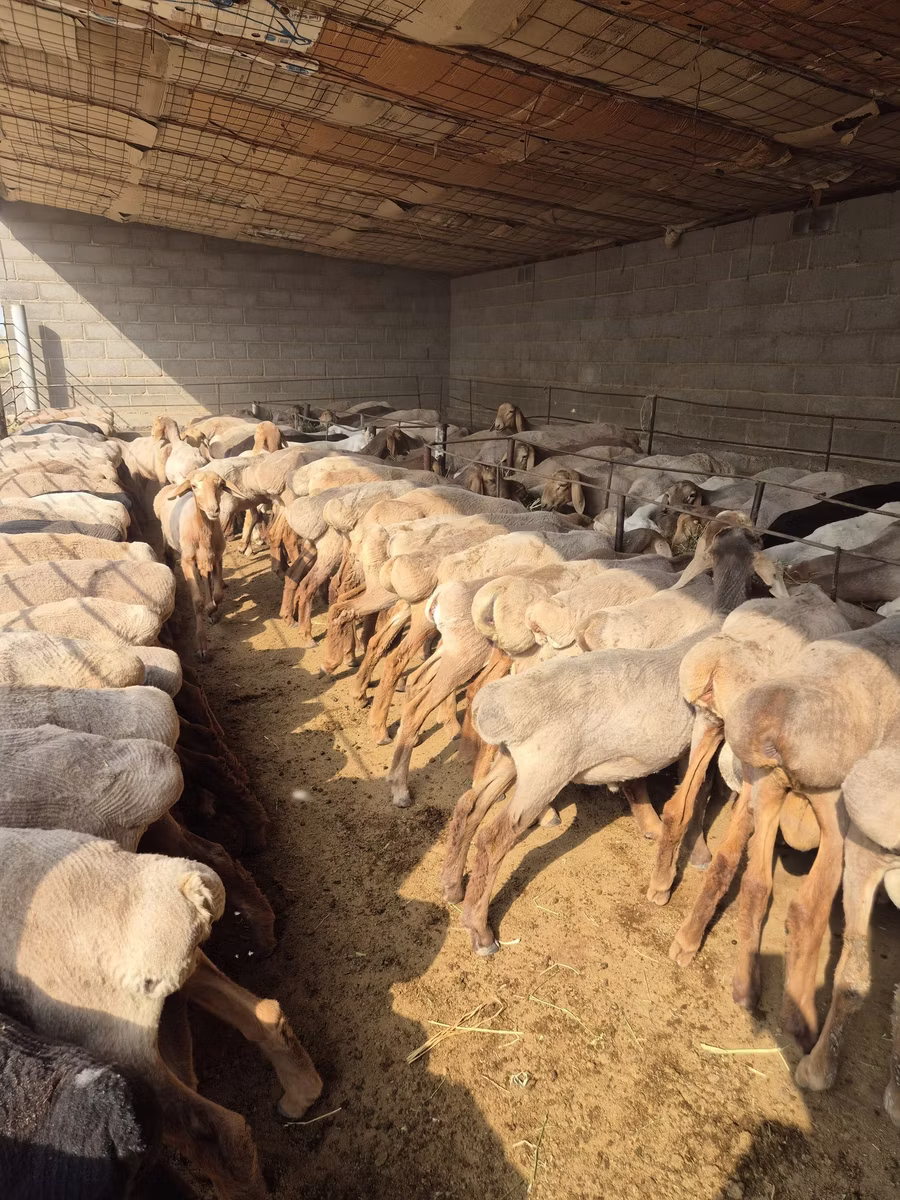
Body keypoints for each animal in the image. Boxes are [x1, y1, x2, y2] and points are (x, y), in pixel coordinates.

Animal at [0, 829, 319, 1197]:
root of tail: (183, 889)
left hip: (117, 1043)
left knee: (218, 1134)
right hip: (185, 972)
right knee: (264, 1015)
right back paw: (302, 1092)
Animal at [154, 473, 227, 661]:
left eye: (220, 485)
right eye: (194, 486)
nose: (214, 510)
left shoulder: (217, 557)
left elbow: (218, 594)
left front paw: (211, 609)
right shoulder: (187, 562)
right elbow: (197, 602)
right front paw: (202, 646)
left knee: (206, 578)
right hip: (167, 539)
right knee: (169, 559)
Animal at [442, 519, 780, 954]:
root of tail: (500, 707)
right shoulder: (707, 729)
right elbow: (696, 794)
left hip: (511, 761)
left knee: (469, 807)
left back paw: (452, 885)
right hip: (543, 775)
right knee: (493, 839)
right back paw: (480, 931)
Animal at [720, 615, 900, 1049]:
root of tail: (773, 722)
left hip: (767, 786)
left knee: (756, 885)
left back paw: (746, 987)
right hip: (835, 807)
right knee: (808, 909)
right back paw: (799, 1020)